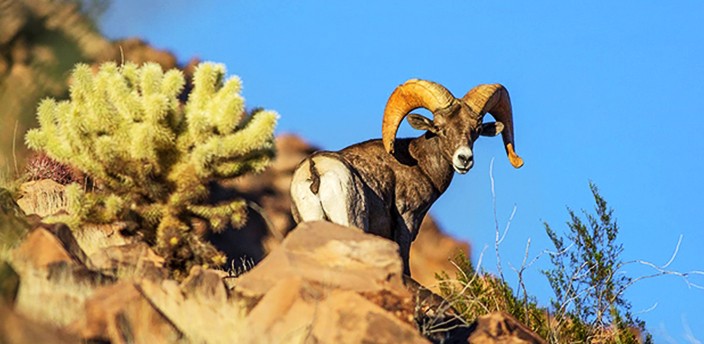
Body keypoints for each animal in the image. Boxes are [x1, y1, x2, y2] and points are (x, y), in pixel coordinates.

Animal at [288, 78, 524, 274]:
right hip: (351, 222)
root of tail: (315, 170)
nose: (464, 159)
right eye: (439, 127)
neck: (420, 163)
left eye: (475, 130)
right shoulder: (406, 222)